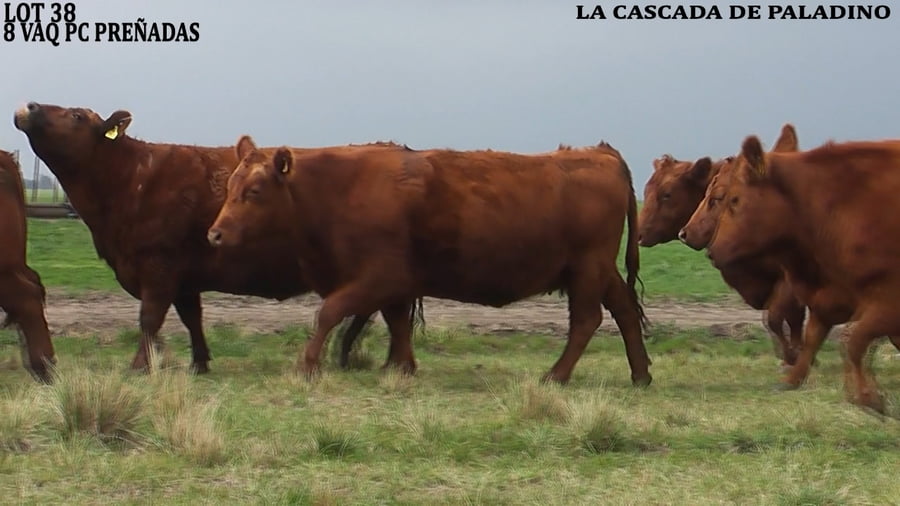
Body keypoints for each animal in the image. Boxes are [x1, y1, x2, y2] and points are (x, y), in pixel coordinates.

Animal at [13, 102, 375, 373]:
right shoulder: (184, 277)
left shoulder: (158, 265)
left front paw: (139, 366)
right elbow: (191, 319)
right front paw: (199, 363)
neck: (130, 177)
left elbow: (149, 318)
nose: (29, 106)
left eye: (76, 115)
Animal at [208, 136, 652, 386]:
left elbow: (329, 312)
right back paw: (641, 374)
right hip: (600, 272)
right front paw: (400, 367)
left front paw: (307, 365)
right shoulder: (396, 284)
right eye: (230, 185)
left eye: (255, 190)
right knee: (625, 311)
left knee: (587, 320)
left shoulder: (378, 277)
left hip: (586, 271)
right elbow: (397, 323)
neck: (337, 189)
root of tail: (602, 155)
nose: (215, 234)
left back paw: (556, 375)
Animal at [688, 136, 900, 412]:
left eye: (728, 199)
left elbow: (850, 340)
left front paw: (868, 397)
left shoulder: (885, 303)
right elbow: (814, 339)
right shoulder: (827, 299)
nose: (712, 252)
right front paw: (793, 378)